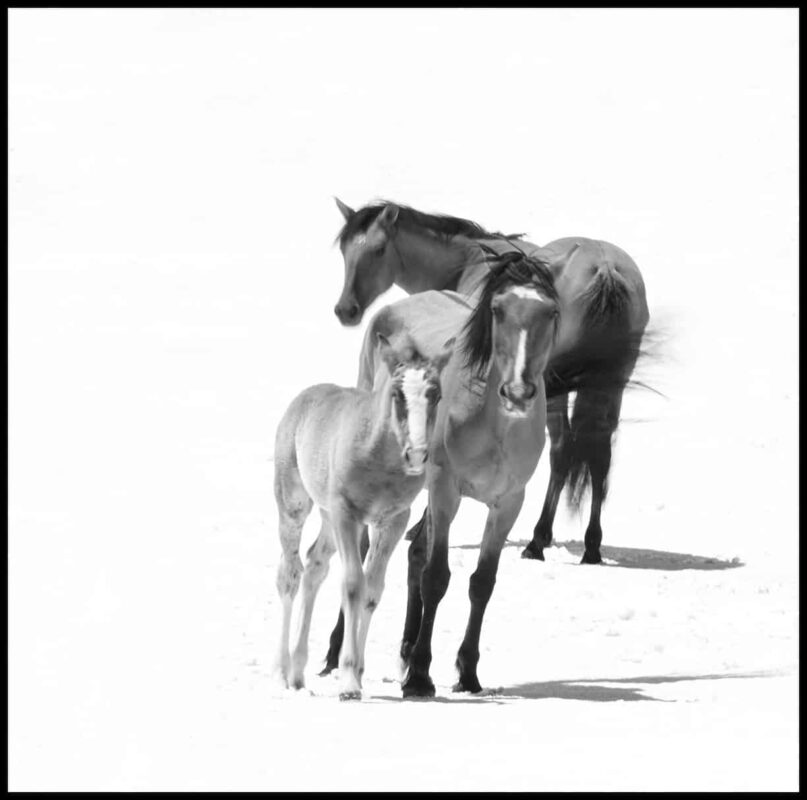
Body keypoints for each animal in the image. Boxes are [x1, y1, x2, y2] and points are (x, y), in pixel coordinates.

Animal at [271, 333, 453, 700]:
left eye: (436, 394)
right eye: (397, 394)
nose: (416, 455)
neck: (378, 454)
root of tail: (304, 397)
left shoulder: (394, 520)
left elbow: (372, 590)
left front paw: (356, 672)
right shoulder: (347, 515)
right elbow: (353, 584)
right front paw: (348, 682)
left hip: (327, 516)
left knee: (314, 566)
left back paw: (297, 671)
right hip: (294, 505)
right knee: (290, 574)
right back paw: (283, 671)